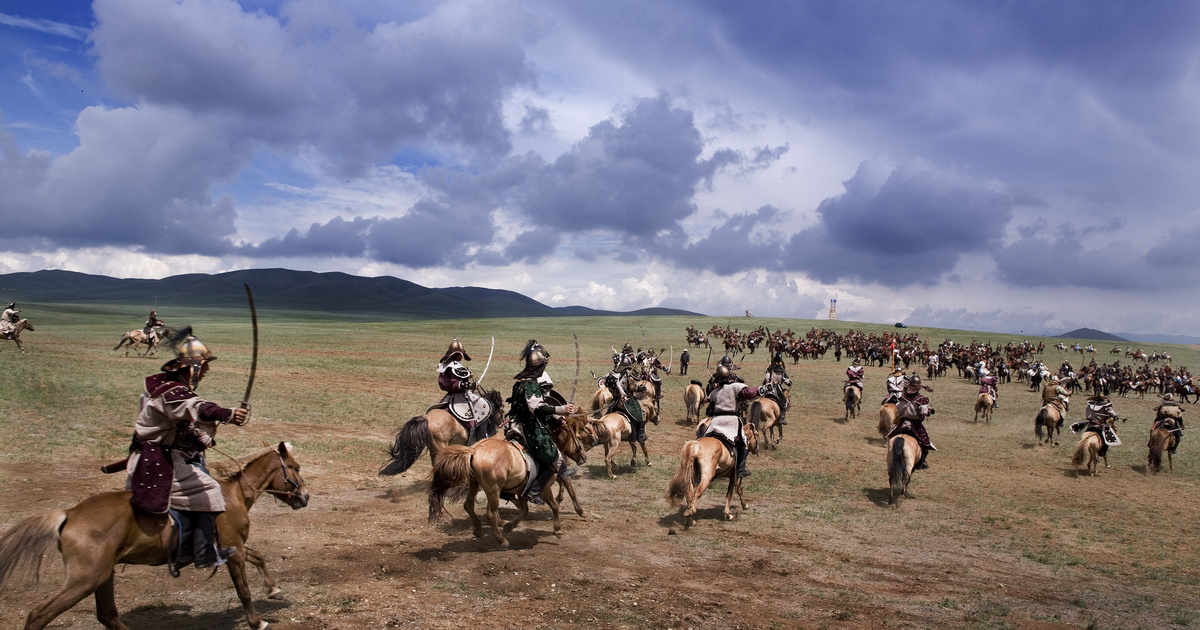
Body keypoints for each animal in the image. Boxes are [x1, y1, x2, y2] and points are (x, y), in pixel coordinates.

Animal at [1, 441, 309, 628]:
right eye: (295, 468)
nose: (305, 497)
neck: (233, 496)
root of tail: (69, 514)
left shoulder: (235, 547)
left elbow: (258, 556)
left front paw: (273, 589)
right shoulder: (233, 549)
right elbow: (243, 589)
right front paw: (257, 621)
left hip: (103, 575)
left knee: (108, 615)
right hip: (83, 580)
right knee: (39, 615)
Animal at [429, 415, 588, 547]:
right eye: (577, 437)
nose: (584, 456)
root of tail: (474, 451)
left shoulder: (522, 490)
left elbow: (525, 510)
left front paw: (510, 526)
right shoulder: (545, 488)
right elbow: (555, 505)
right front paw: (559, 527)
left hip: (476, 483)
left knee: (469, 505)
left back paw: (479, 529)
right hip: (493, 489)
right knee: (490, 514)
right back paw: (502, 540)